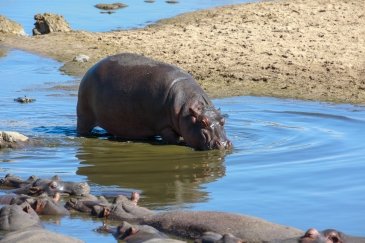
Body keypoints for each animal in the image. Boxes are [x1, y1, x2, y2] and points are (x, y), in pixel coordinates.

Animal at [76, 53, 230, 150]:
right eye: (203, 122)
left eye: (223, 121)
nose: (223, 144)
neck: (186, 111)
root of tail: (90, 70)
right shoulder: (164, 127)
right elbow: (173, 139)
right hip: (84, 116)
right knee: (82, 130)